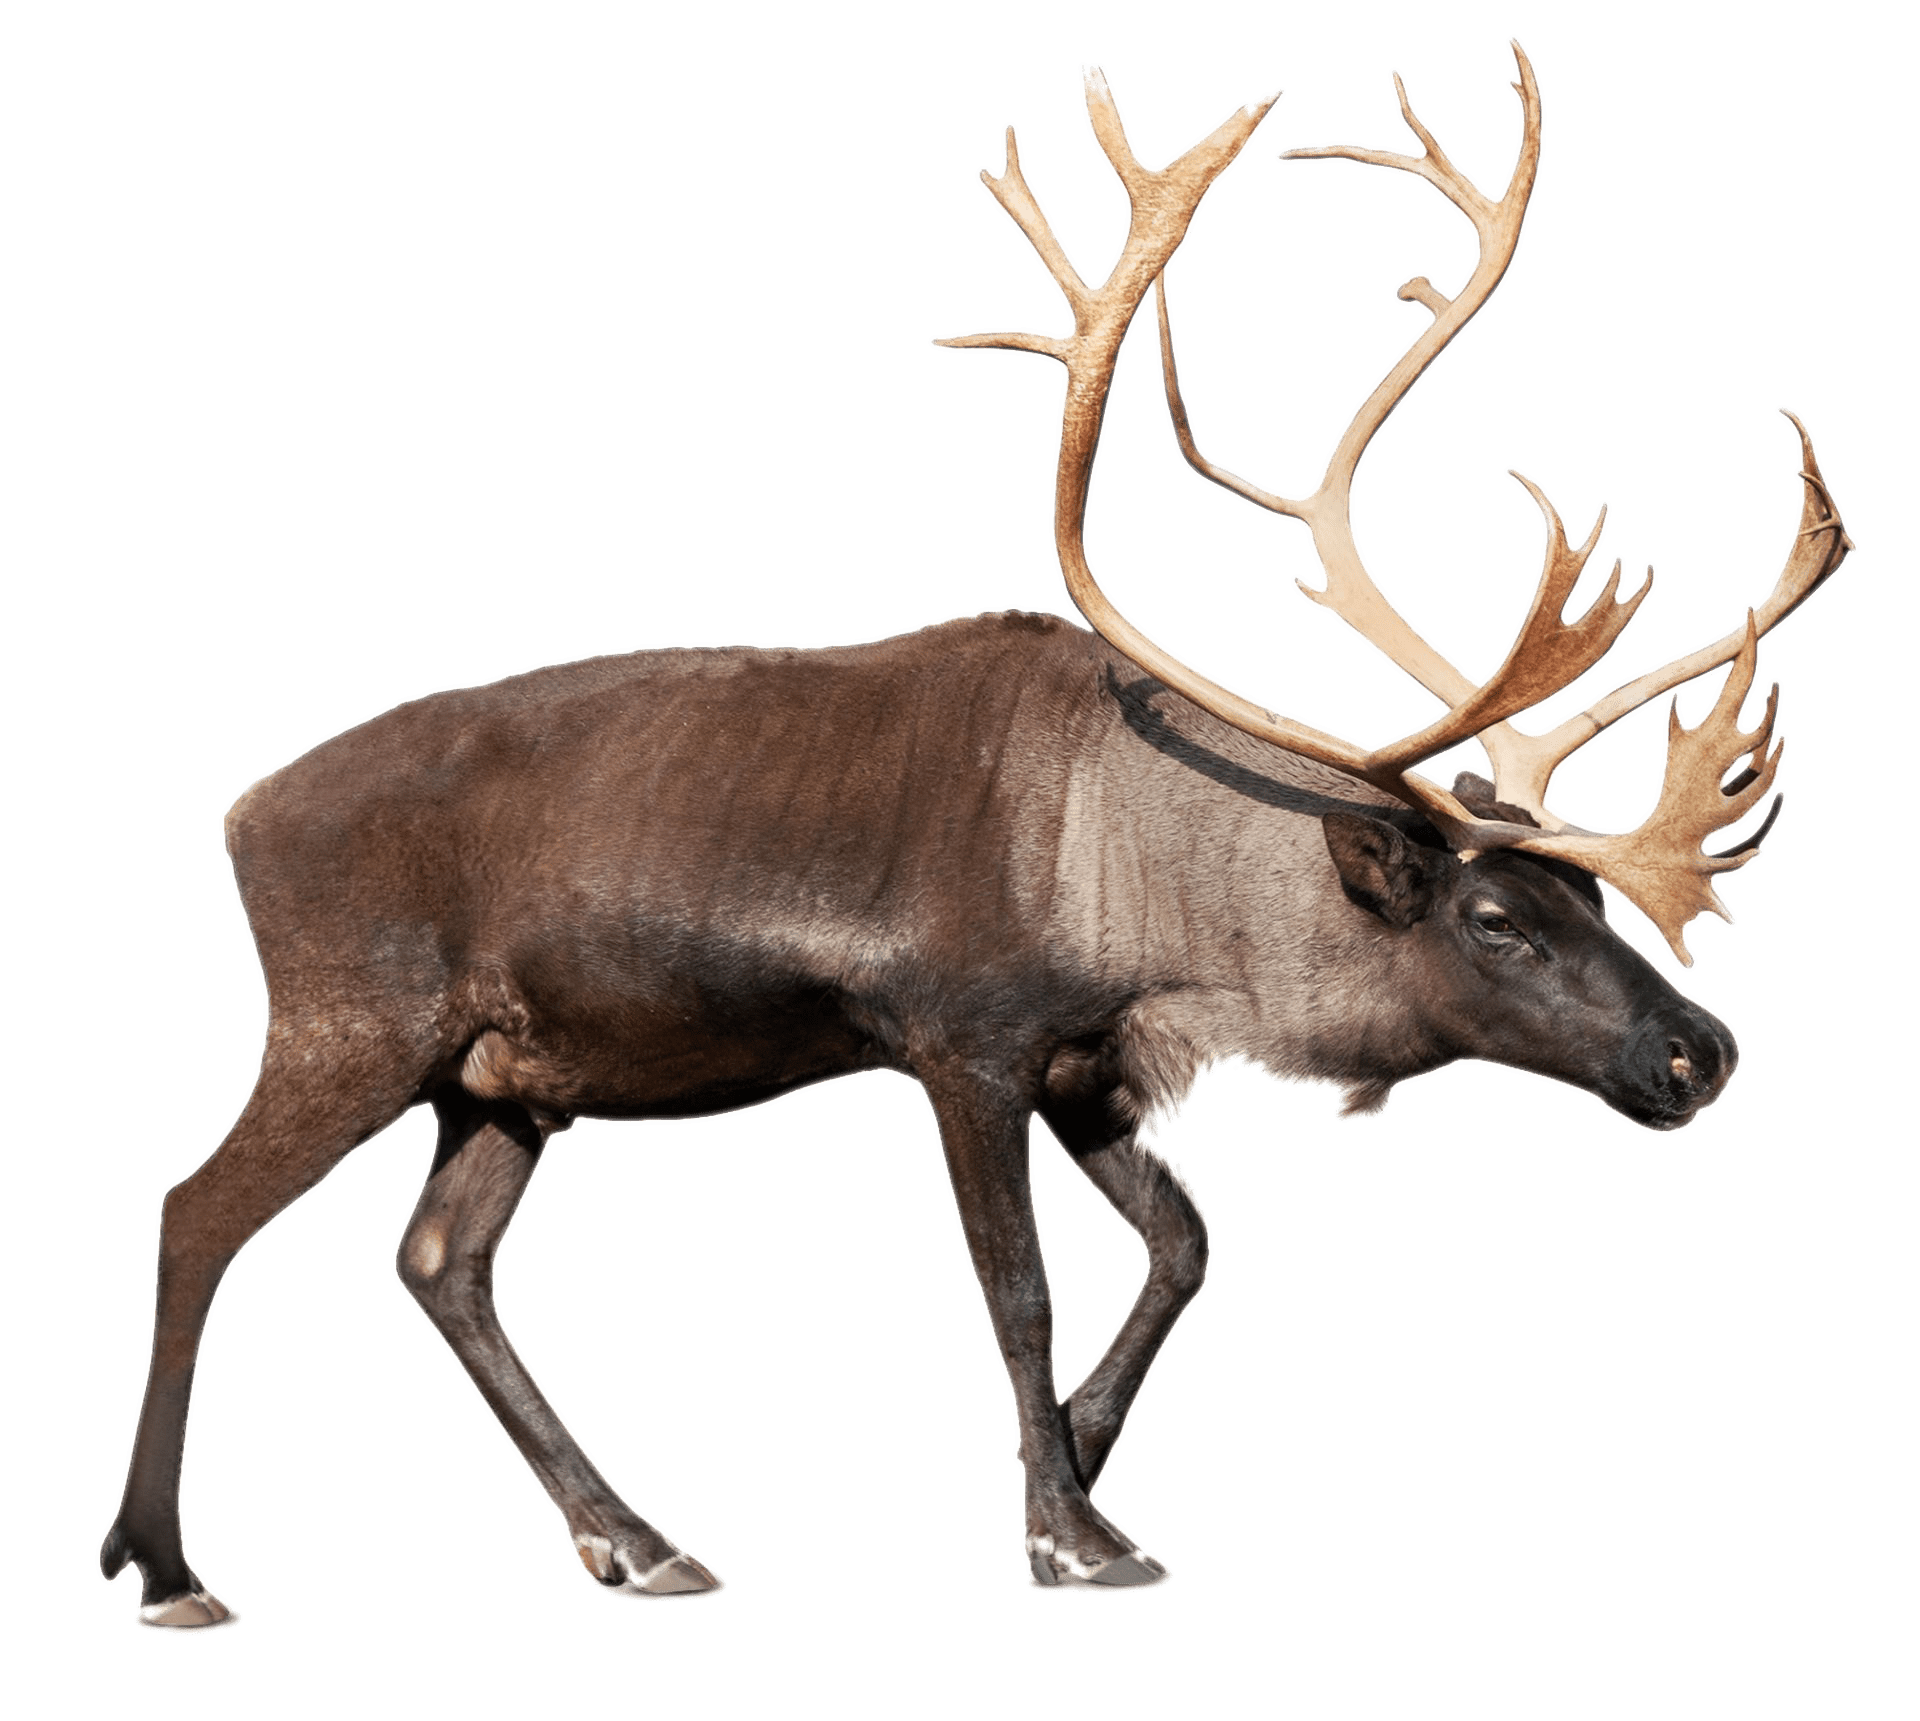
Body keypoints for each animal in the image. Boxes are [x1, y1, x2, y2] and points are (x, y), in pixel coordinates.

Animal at [98, 39, 1853, 1632]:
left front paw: (1080, 1462)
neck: (1164, 893)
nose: (1701, 1050)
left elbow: (1186, 1246)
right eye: (1494, 918)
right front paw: (1067, 1533)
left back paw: (638, 1543)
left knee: (440, 1263)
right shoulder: (965, 1041)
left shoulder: (1092, 1068)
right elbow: (1020, 1286)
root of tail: (238, 812)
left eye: (1595, 903)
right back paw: (168, 1568)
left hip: (510, 1079)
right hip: (353, 1023)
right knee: (198, 1210)